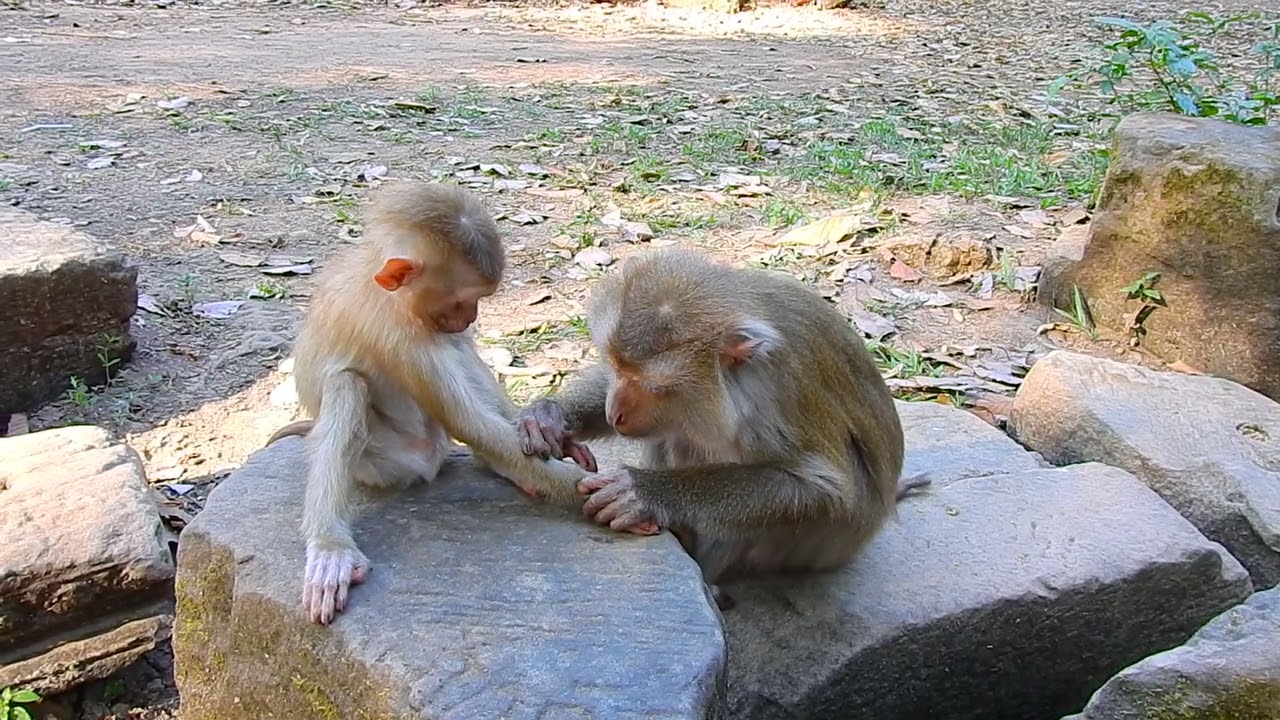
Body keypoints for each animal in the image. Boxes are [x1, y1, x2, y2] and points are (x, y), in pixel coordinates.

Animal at [275, 181, 591, 625]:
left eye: (480, 300)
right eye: (463, 299)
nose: (471, 318)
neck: (384, 290)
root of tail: (430, 461)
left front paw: (539, 425)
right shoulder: (398, 332)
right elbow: (465, 419)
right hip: (385, 464)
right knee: (347, 386)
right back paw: (330, 546)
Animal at [515, 247, 926, 609]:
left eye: (654, 387)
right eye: (618, 369)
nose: (614, 412)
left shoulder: (774, 397)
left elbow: (826, 491)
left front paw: (645, 492)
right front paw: (551, 417)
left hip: (823, 547)